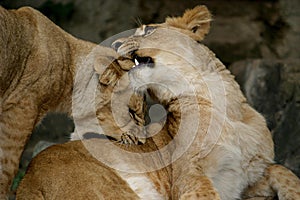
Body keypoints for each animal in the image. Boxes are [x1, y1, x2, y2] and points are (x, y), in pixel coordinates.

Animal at [113, 5, 300, 199]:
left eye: (148, 30)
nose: (114, 45)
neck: (224, 108)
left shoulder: (249, 177)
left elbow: (280, 170)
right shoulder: (187, 175)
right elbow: (206, 192)